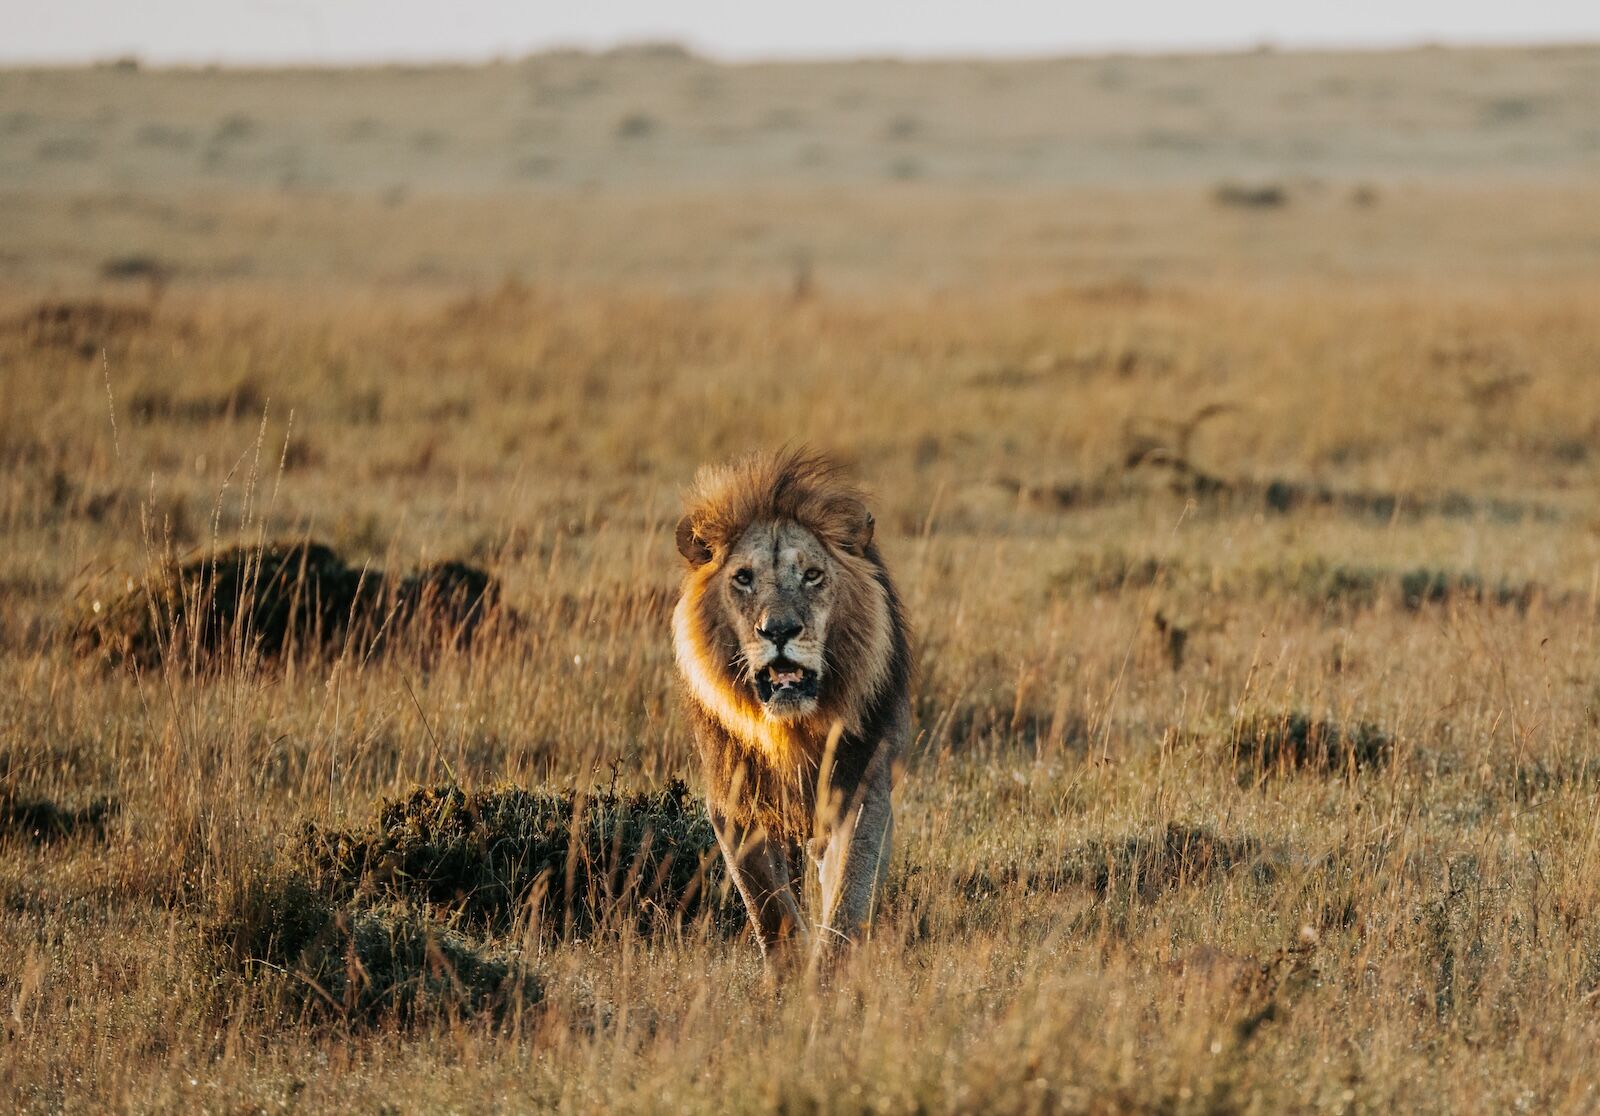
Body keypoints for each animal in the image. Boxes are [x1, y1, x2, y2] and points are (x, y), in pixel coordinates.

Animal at [672, 447, 915, 959]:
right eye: (743, 578)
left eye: (812, 576)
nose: (779, 630)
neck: (791, 731)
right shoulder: (734, 803)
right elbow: (770, 908)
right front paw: (789, 971)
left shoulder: (861, 789)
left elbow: (848, 894)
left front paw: (829, 970)